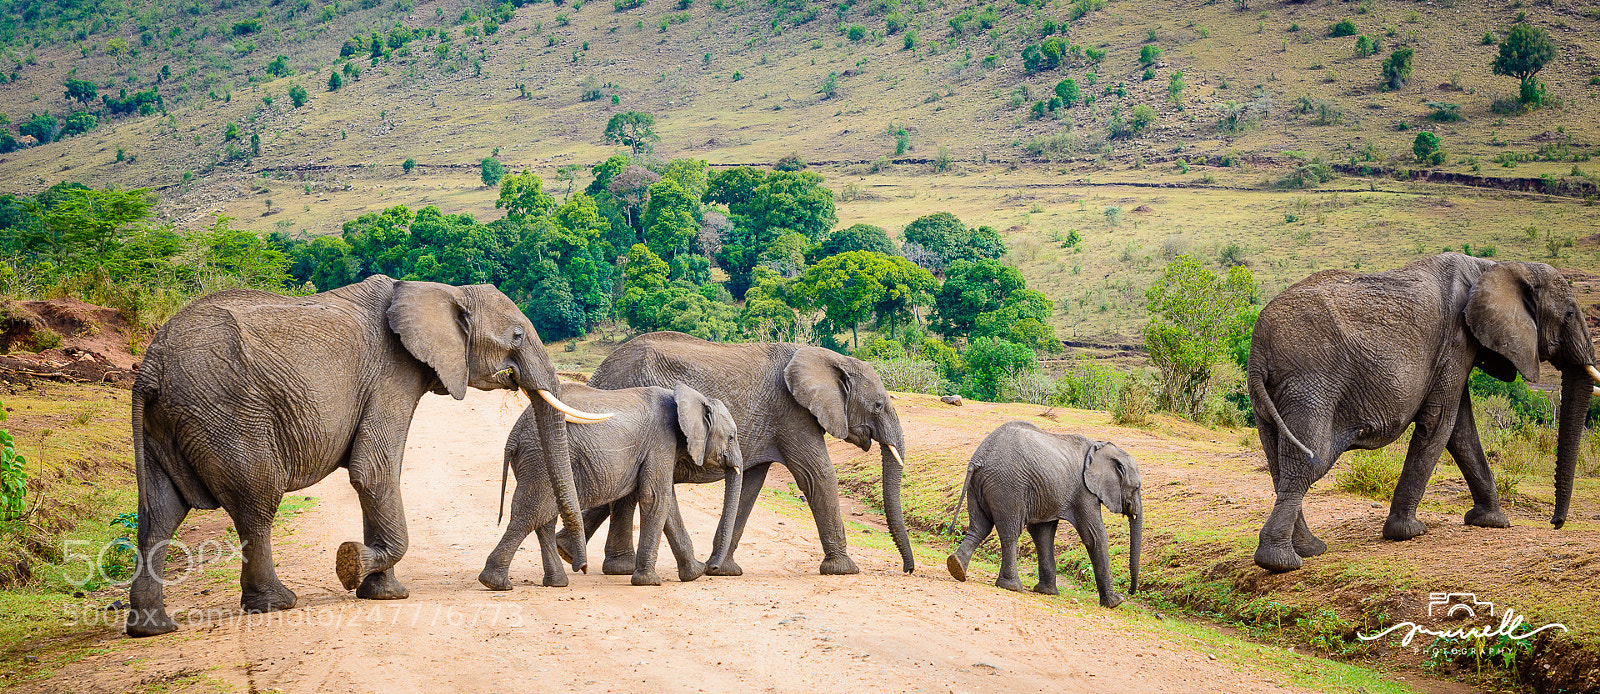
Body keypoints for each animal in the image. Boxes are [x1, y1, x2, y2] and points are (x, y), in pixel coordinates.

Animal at [126, 276, 611, 637]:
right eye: (516, 335)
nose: (581, 566)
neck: (441, 290)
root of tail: (150, 365)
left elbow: (372, 475)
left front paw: (377, 589)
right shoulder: (391, 375)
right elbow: (376, 469)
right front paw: (355, 568)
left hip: (168, 423)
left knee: (159, 515)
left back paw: (152, 628)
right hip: (227, 414)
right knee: (256, 501)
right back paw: (277, 603)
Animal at [479, 382, 743, 589]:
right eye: (731, 437)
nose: (713, 568)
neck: (686, 397)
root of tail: (514, 435)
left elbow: (666, 502)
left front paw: (694, 574)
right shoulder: (661, 440)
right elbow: (655, 497)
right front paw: (650, 582)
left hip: (539, 462)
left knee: (544, 516)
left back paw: (556, 582)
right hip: (540, 460)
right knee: (530, 514)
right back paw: (495, 583)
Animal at [567, 331, 915, 577]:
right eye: (878, 406)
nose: (908, 570)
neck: (831, 358)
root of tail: (600, 372)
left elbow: (750, 485)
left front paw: (724, 571)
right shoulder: (792, 414)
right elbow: (817, 475)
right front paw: (845, 570)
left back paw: (574, 554)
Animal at [944, 421, 1143, 608]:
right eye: (1137, 487)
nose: (1130, 592)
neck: (1102, 448)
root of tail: (978, 460)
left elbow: (1043, 534)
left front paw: (1047, 592)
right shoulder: (1084, 491)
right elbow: (1094, 535)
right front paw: (1115, 602)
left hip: (979, 485)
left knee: (979, 528)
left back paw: (956, 567)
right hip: (1008, 486)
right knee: (1010, 533)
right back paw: (1012, 587)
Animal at [1248, 253, 1600, 573]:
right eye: (1569, 313)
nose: (1555, 523)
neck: (1495, 266)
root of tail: (1257, 350)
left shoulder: (1459, 348)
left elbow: (1460, 428)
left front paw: (1492, 522)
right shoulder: (1457, 341)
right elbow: (1441, 421)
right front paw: (1408, 532)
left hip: (1271, 396)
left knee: (1280, 465)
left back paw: (1310, 550)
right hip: (1312, 382)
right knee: (1307, 462)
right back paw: (1282, 562)